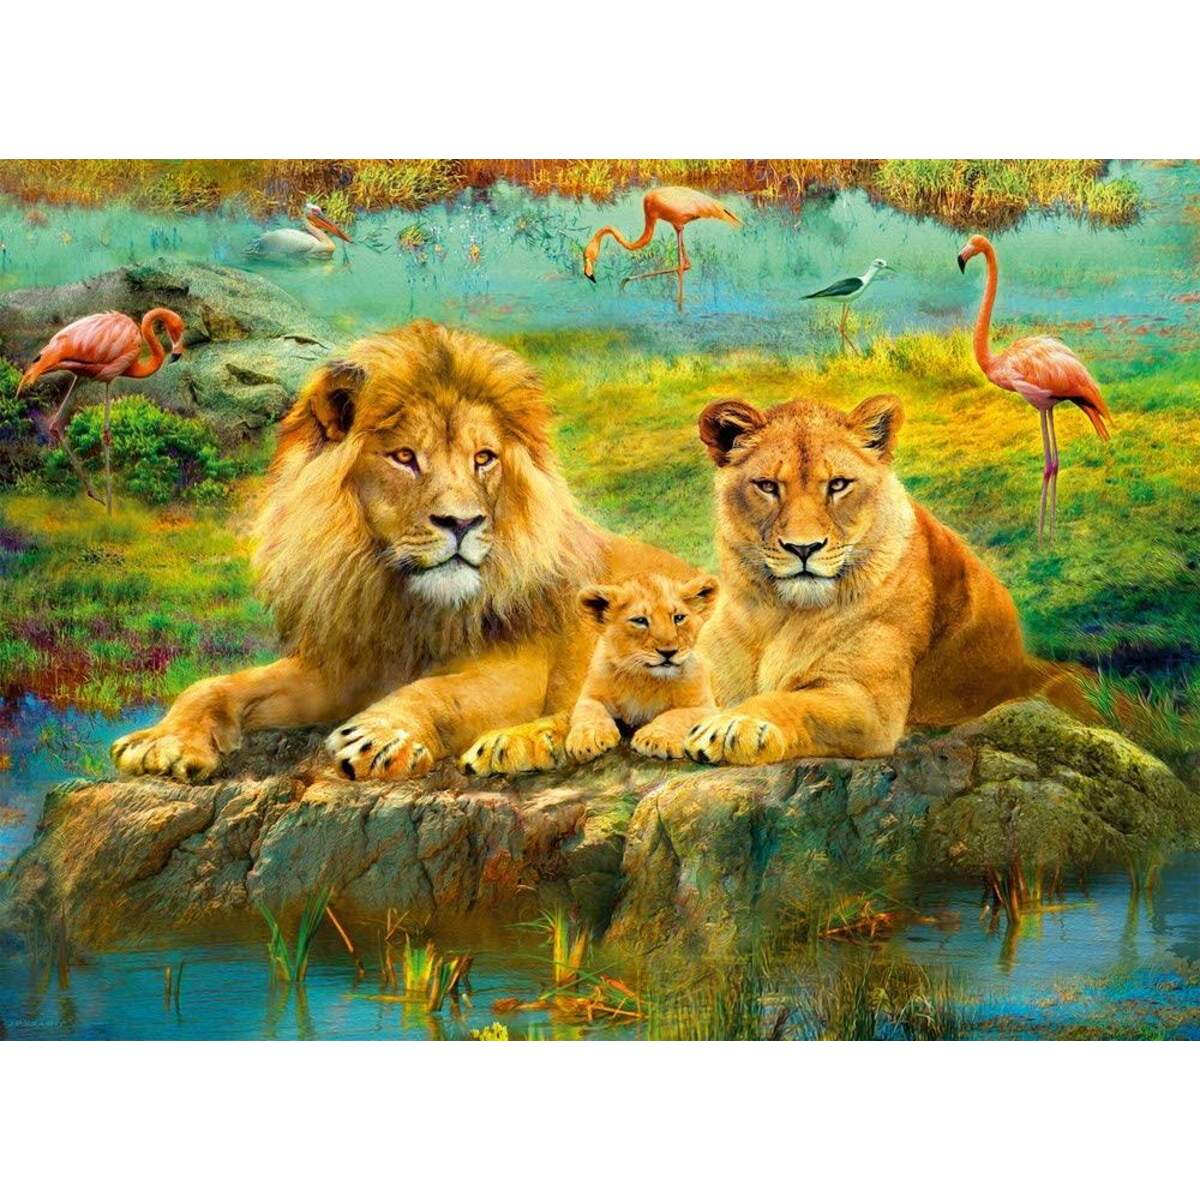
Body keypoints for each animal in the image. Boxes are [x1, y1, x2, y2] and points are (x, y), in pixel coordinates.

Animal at [111, 320, 690, 783]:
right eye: (405, 457)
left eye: (484, 458)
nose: (462, 522)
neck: (403, 602)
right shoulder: (343, 667)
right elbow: (217, 684)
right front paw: (162, 740)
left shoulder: (518, 671)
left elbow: (437, 692)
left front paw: (381, 735)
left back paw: (519, 742)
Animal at [565, 572, 720, 764]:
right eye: (640, 621)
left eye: (678, 618)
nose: (668, 652)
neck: (645, 679)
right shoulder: (590, 695)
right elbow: (589, 711)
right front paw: (587, 738)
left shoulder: (707, 708)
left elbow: (676, 715)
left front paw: (655, 738)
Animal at [681, 392, 1096, 766]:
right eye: (767, 486)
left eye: (838, 484)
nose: (804, 548)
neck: (778, 615)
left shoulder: (868, 704)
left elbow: (789, 701)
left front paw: (735, 725)